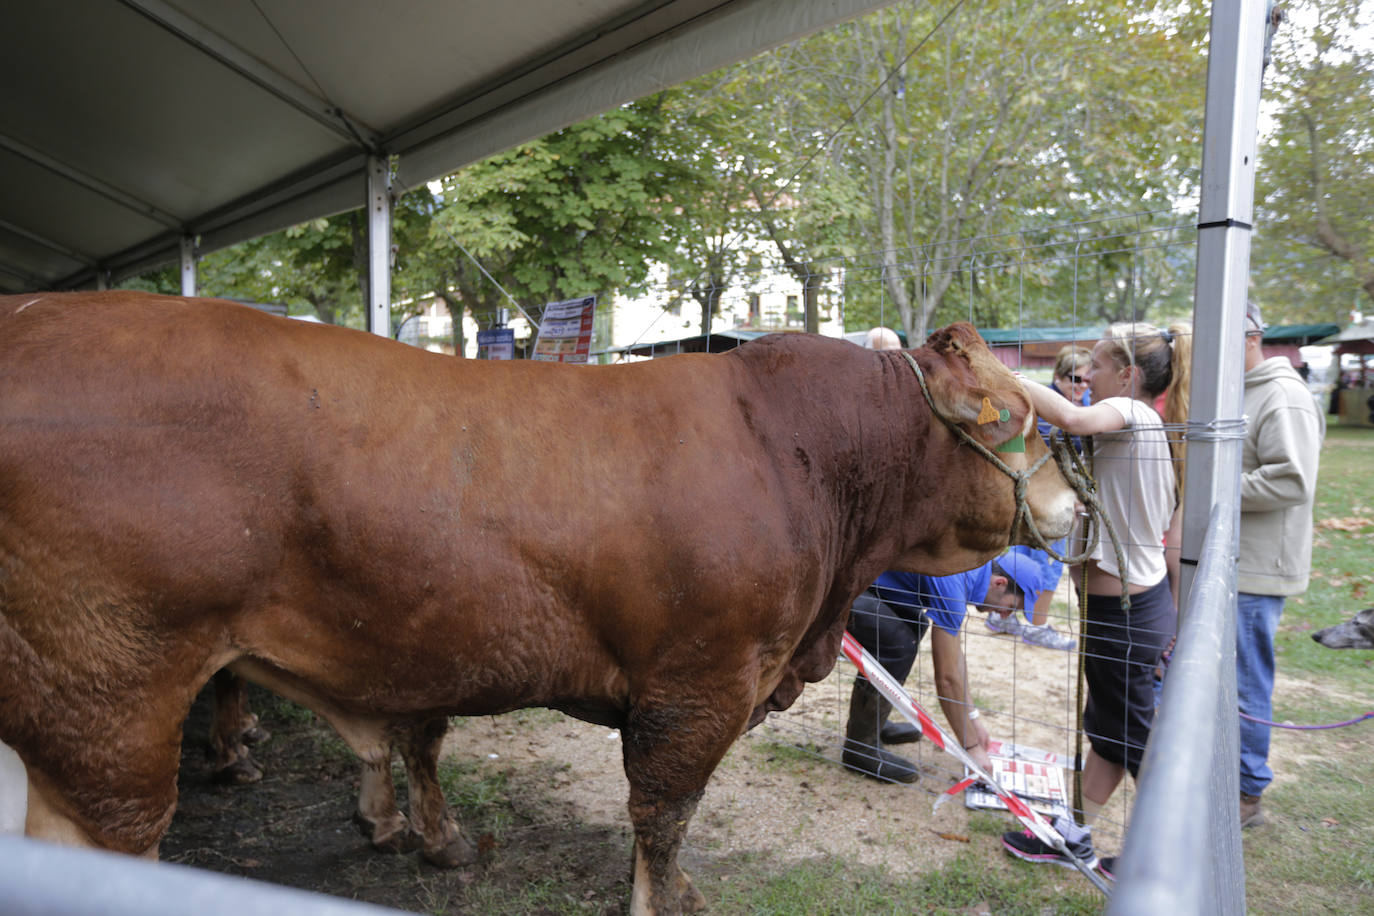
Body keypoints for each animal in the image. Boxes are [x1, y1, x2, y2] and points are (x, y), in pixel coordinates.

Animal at [0, 295, 1071, 916]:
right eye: (1017, 418)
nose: (1069, 502)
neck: (799, 454)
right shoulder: (701, 683)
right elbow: (664, 813)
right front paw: (667, 899)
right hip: (109, 702)